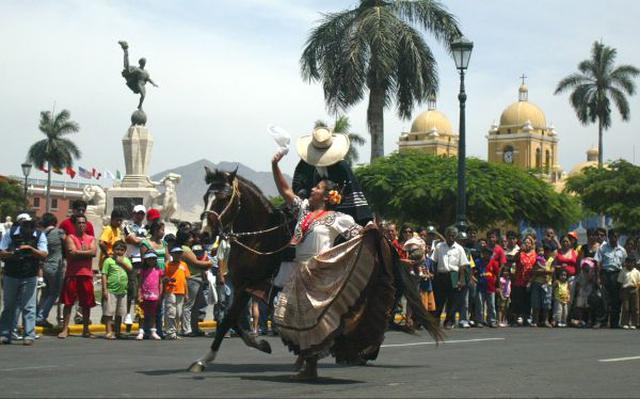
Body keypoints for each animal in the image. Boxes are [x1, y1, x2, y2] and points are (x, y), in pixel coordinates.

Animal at [188, 167, 442, 374]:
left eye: (222, 198)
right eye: (205, 197)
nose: (204, 234)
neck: (261, 237)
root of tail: (387, 241)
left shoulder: (253, 285)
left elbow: (228, 320)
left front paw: (204, 360)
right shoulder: (243, 286)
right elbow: (231, 320)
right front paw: (260, 343)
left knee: (381, 314)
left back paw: (363, 352)